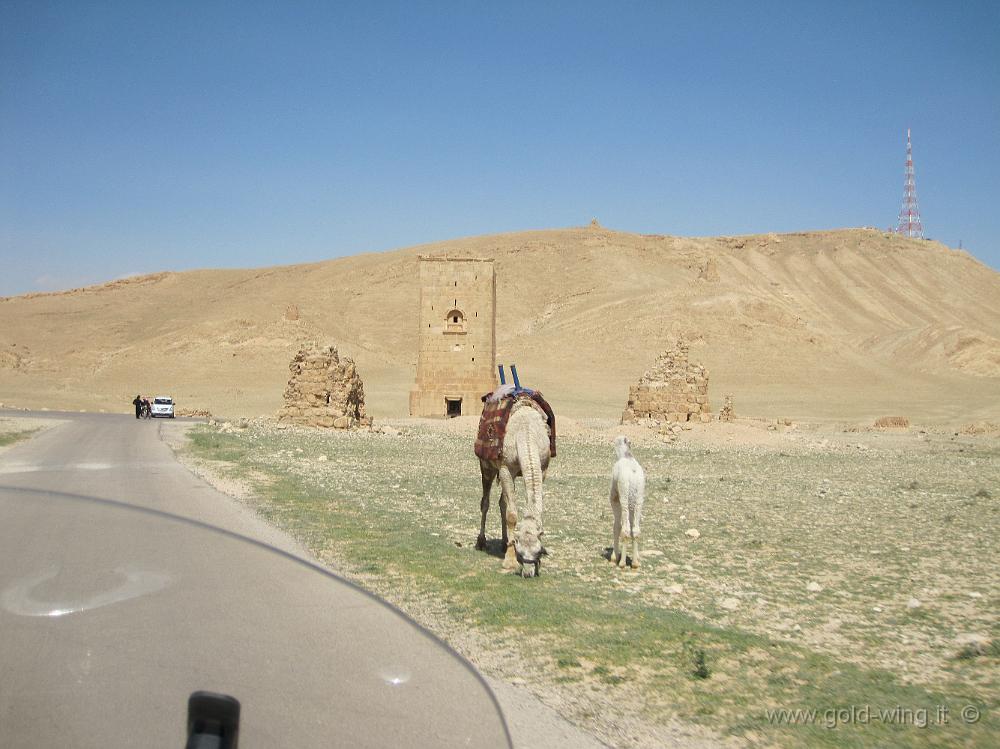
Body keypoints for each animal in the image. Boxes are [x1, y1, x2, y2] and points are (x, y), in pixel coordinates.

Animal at [474, 398, 552, 580]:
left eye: (538, 552)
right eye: (520, 550)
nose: (528, 573)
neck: (526, 432)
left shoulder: (542, 468)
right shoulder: (505, 468)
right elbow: (512, 515)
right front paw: (509, 561)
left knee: (502, 502)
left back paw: (503, 542)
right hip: (486, 467)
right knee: (485, 502)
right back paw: (482, 542)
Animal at [608, 432, 648, 568]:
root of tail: (633, 474)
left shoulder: (615, 498)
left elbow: (616, 526)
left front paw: (614, 557)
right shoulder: (633, 503)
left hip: (624, 495)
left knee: (624, 529)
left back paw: (621, 562)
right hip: (639, 498)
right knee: (635, 530)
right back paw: (635, 563)